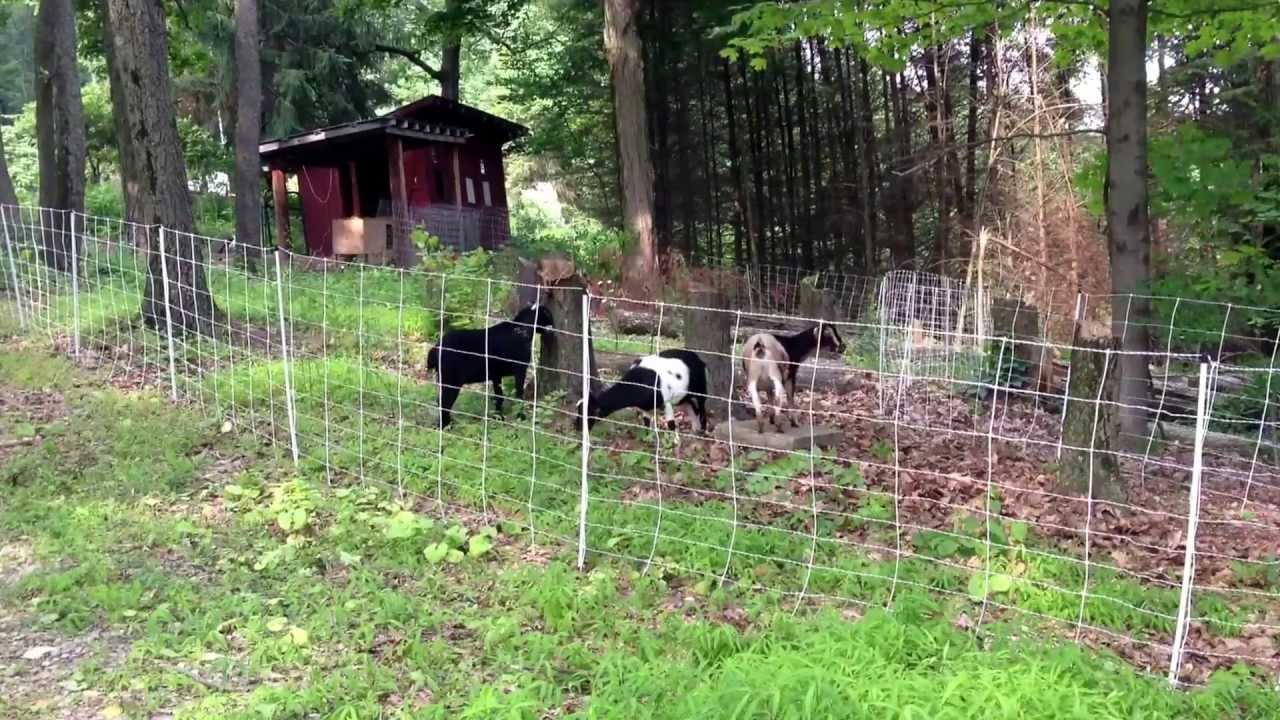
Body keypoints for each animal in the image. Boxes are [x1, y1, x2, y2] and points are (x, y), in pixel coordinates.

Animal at [578, 345, 711, 435]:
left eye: (590, 412)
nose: (577, 428)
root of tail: (699, 359)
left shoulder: (666, 402)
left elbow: (671, 425)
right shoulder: (644, 407)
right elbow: (646, 423)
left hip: (701, 389)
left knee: (702, 408)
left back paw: (702, 430)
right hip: (684, 395)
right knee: (691, 407)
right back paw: (695, 429)